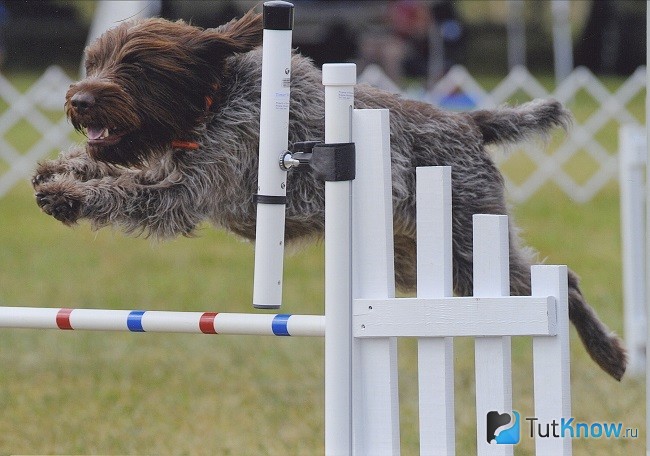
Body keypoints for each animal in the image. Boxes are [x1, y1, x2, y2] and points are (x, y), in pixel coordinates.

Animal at [33, 11, 624, 382]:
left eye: (134, 66)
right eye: (93, 62)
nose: (79, 100)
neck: (211, 102)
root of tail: (468, 121)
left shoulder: (184, 192)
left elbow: (123, 191)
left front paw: (68, 196)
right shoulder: (159, 163)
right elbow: (104, 166)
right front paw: (55, 171)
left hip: (469, 247)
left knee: (560, 284)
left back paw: (610, 352)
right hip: (414, 261)